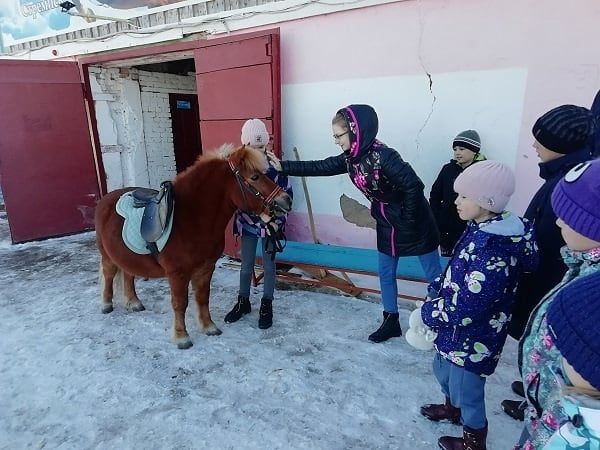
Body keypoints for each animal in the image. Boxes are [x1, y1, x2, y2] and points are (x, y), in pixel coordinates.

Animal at [95, 146, 292, 350]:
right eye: (254, 177)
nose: (286, 200)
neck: (191, 219)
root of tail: (105, 199)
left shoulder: (206, 268)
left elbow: (203, 298)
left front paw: (209, 327)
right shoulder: (178, 273)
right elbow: (180, 303)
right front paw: (182, 337)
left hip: (126, 255)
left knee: (128, 274)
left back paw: (133, 302)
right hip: (107, 255)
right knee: (109, 274)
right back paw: (106, 304)